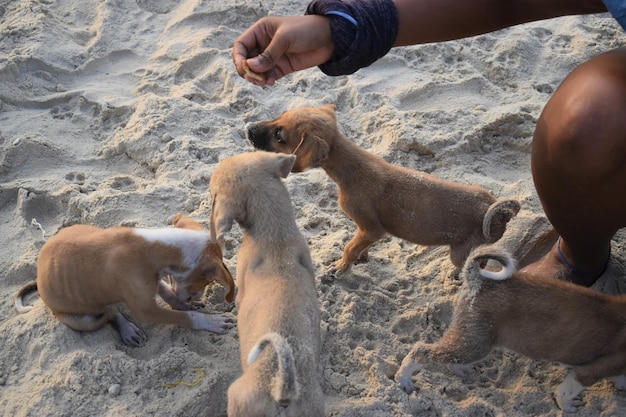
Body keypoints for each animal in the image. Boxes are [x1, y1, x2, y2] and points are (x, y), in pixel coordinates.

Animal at [12, 216, 236, 346]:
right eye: (207, 281)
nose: (195, 297)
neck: (155, 246)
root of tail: (39, 275)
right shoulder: (146, 310)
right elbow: (187, 317)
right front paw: (211, 321)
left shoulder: (152, 282)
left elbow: (169, 294)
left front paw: (187, 305)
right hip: (80, 320)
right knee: (109, 313)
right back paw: (128, 330)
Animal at [394, 244, 626, 412]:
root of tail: (478, 280)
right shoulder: (590, 371)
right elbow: (565, 392)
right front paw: (568, 407)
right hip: (475, 345)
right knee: (421, 351)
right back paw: (404, 381)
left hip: (470, 339)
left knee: (447, 357)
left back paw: (460, 370)